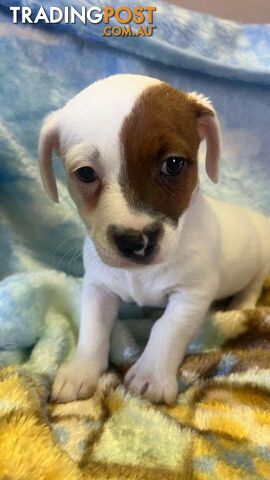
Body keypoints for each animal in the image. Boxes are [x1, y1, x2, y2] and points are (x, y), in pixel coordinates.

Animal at [39, 74, 270, 404]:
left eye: (173, 164)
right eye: (84, 173)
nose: (134, 242)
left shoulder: (191, 295)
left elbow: (168, 329)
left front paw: (151, 375)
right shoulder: (97, 288)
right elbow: (93, 329)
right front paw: (81, 370)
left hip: (259, 264)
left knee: (252, 286)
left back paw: (240, 305)